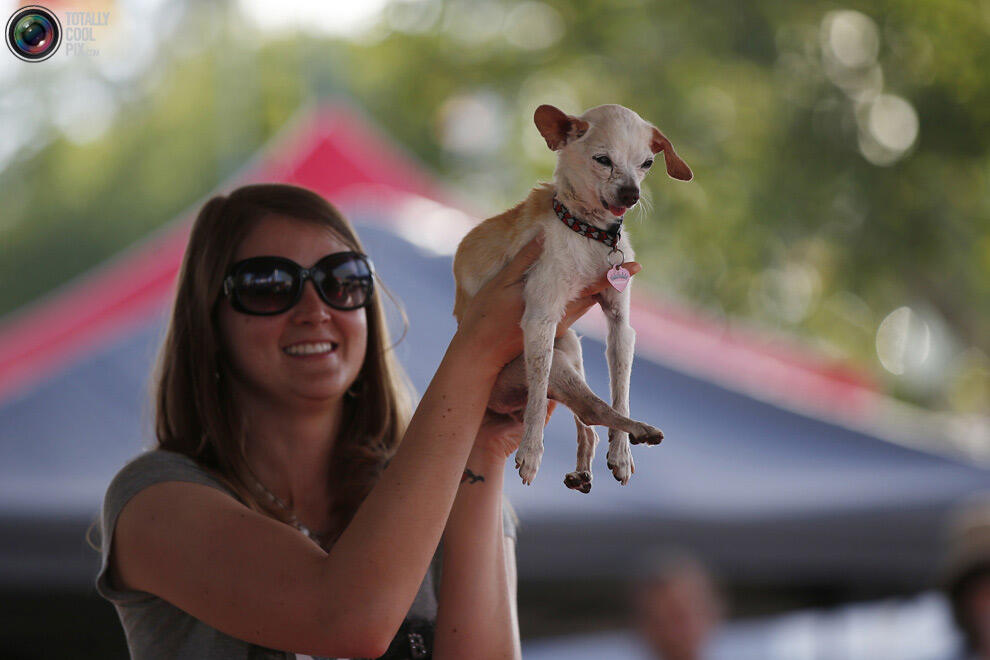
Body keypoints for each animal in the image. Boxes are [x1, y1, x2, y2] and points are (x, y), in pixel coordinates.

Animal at [454, 104, 692, 490]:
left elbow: (621, 390)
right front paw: (531, 452)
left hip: (571, 349)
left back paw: (594, 462)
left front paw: (621, 453)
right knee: (588, 409)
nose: (631, 194)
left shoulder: (620, 328)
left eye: (647, 164)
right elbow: (538, 401)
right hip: (554, 360)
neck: (589, 233)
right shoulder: (542, 319)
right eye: (603, 160)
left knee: (590, 419)